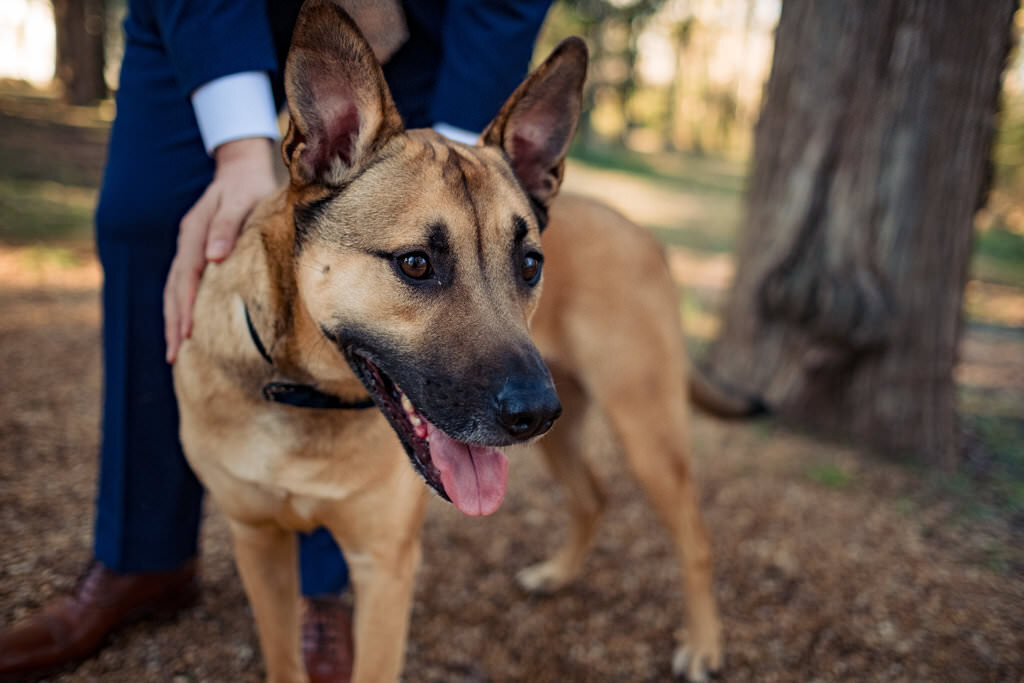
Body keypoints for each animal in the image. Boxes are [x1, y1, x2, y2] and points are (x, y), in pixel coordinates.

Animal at [178, 2, 737, 679]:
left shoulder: (386, 568)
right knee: (593, 496)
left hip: (642, 429)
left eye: (529, 264)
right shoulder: (258, 545)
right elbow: (283, 657)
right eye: (416, 264)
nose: (533, 413)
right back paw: (557, 574)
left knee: (697, 538)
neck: (307, 397)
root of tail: (643, 232)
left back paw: (703, 645)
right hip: (573, 430)